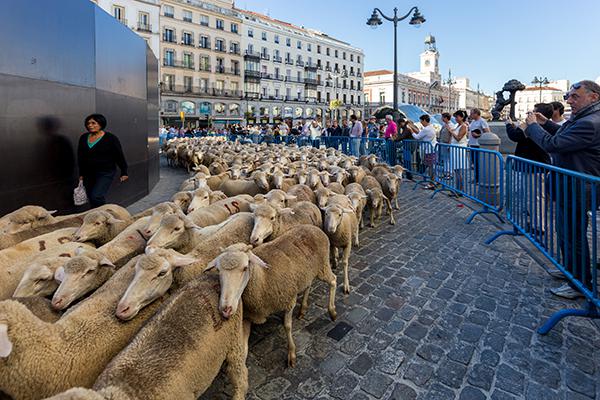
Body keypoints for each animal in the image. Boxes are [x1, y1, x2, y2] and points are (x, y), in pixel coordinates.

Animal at [207, 223, 338, 368]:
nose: (226, 309)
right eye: (218, 270)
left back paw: (332, 312)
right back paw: (303, 309)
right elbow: (244, 349)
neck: (262, 277)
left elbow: (287, 326)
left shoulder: (289, 300)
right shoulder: (247, 317)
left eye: (245, 267)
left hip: (323, 266)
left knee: (333, 280)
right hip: (306, 273)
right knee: (308, 285)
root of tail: (313, 227)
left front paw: (291, 354)